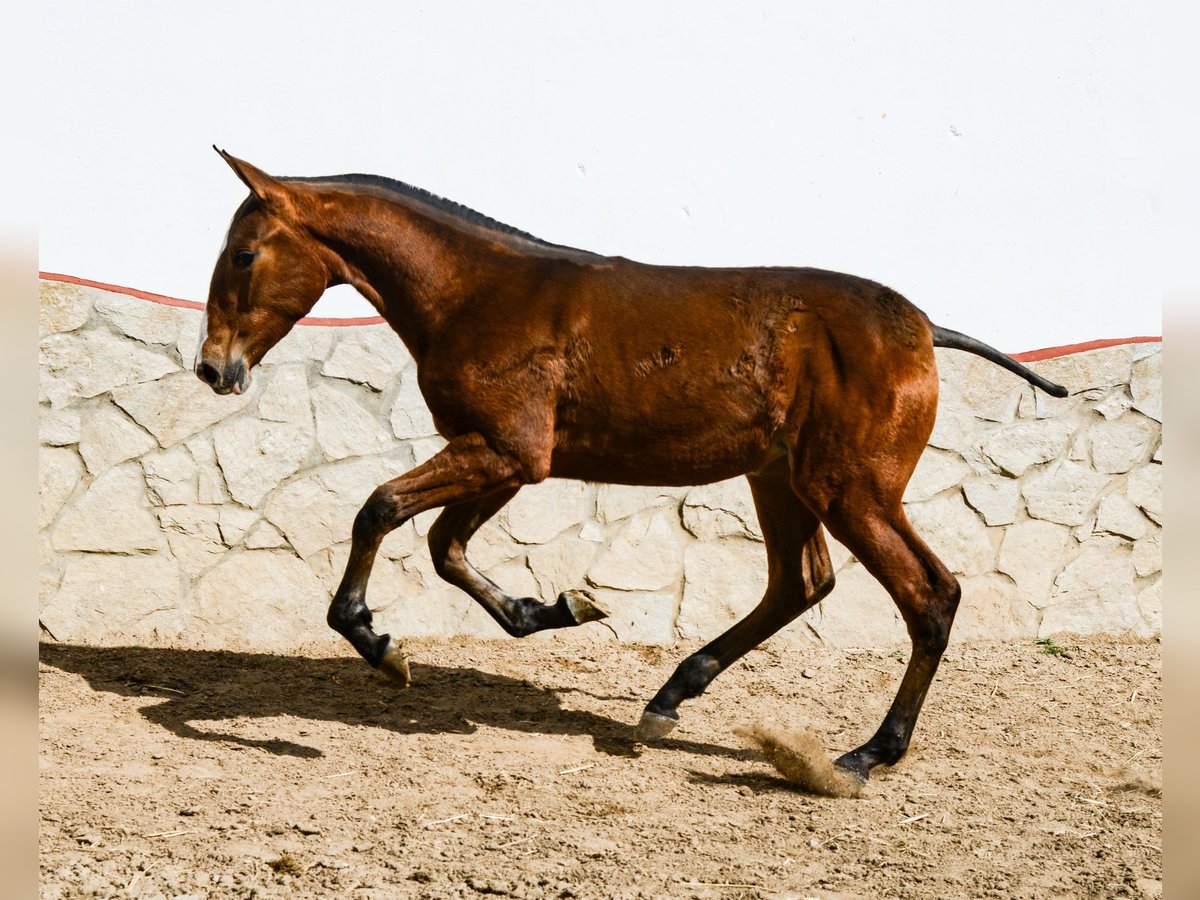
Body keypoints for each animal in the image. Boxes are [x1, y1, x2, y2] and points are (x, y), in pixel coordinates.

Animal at [196, 151, 1070, 787]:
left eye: (243, 254)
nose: (212, 367)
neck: (475, 292)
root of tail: (923, 329)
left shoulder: (505, 451)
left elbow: (379, 508)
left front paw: (378, 644)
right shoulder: (509, 458)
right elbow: (447, 551)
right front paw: (558, 608)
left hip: (849, 488)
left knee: (930, 595)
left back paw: (862, 755)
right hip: (781, 479)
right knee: (800, 583)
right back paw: (668, 699)